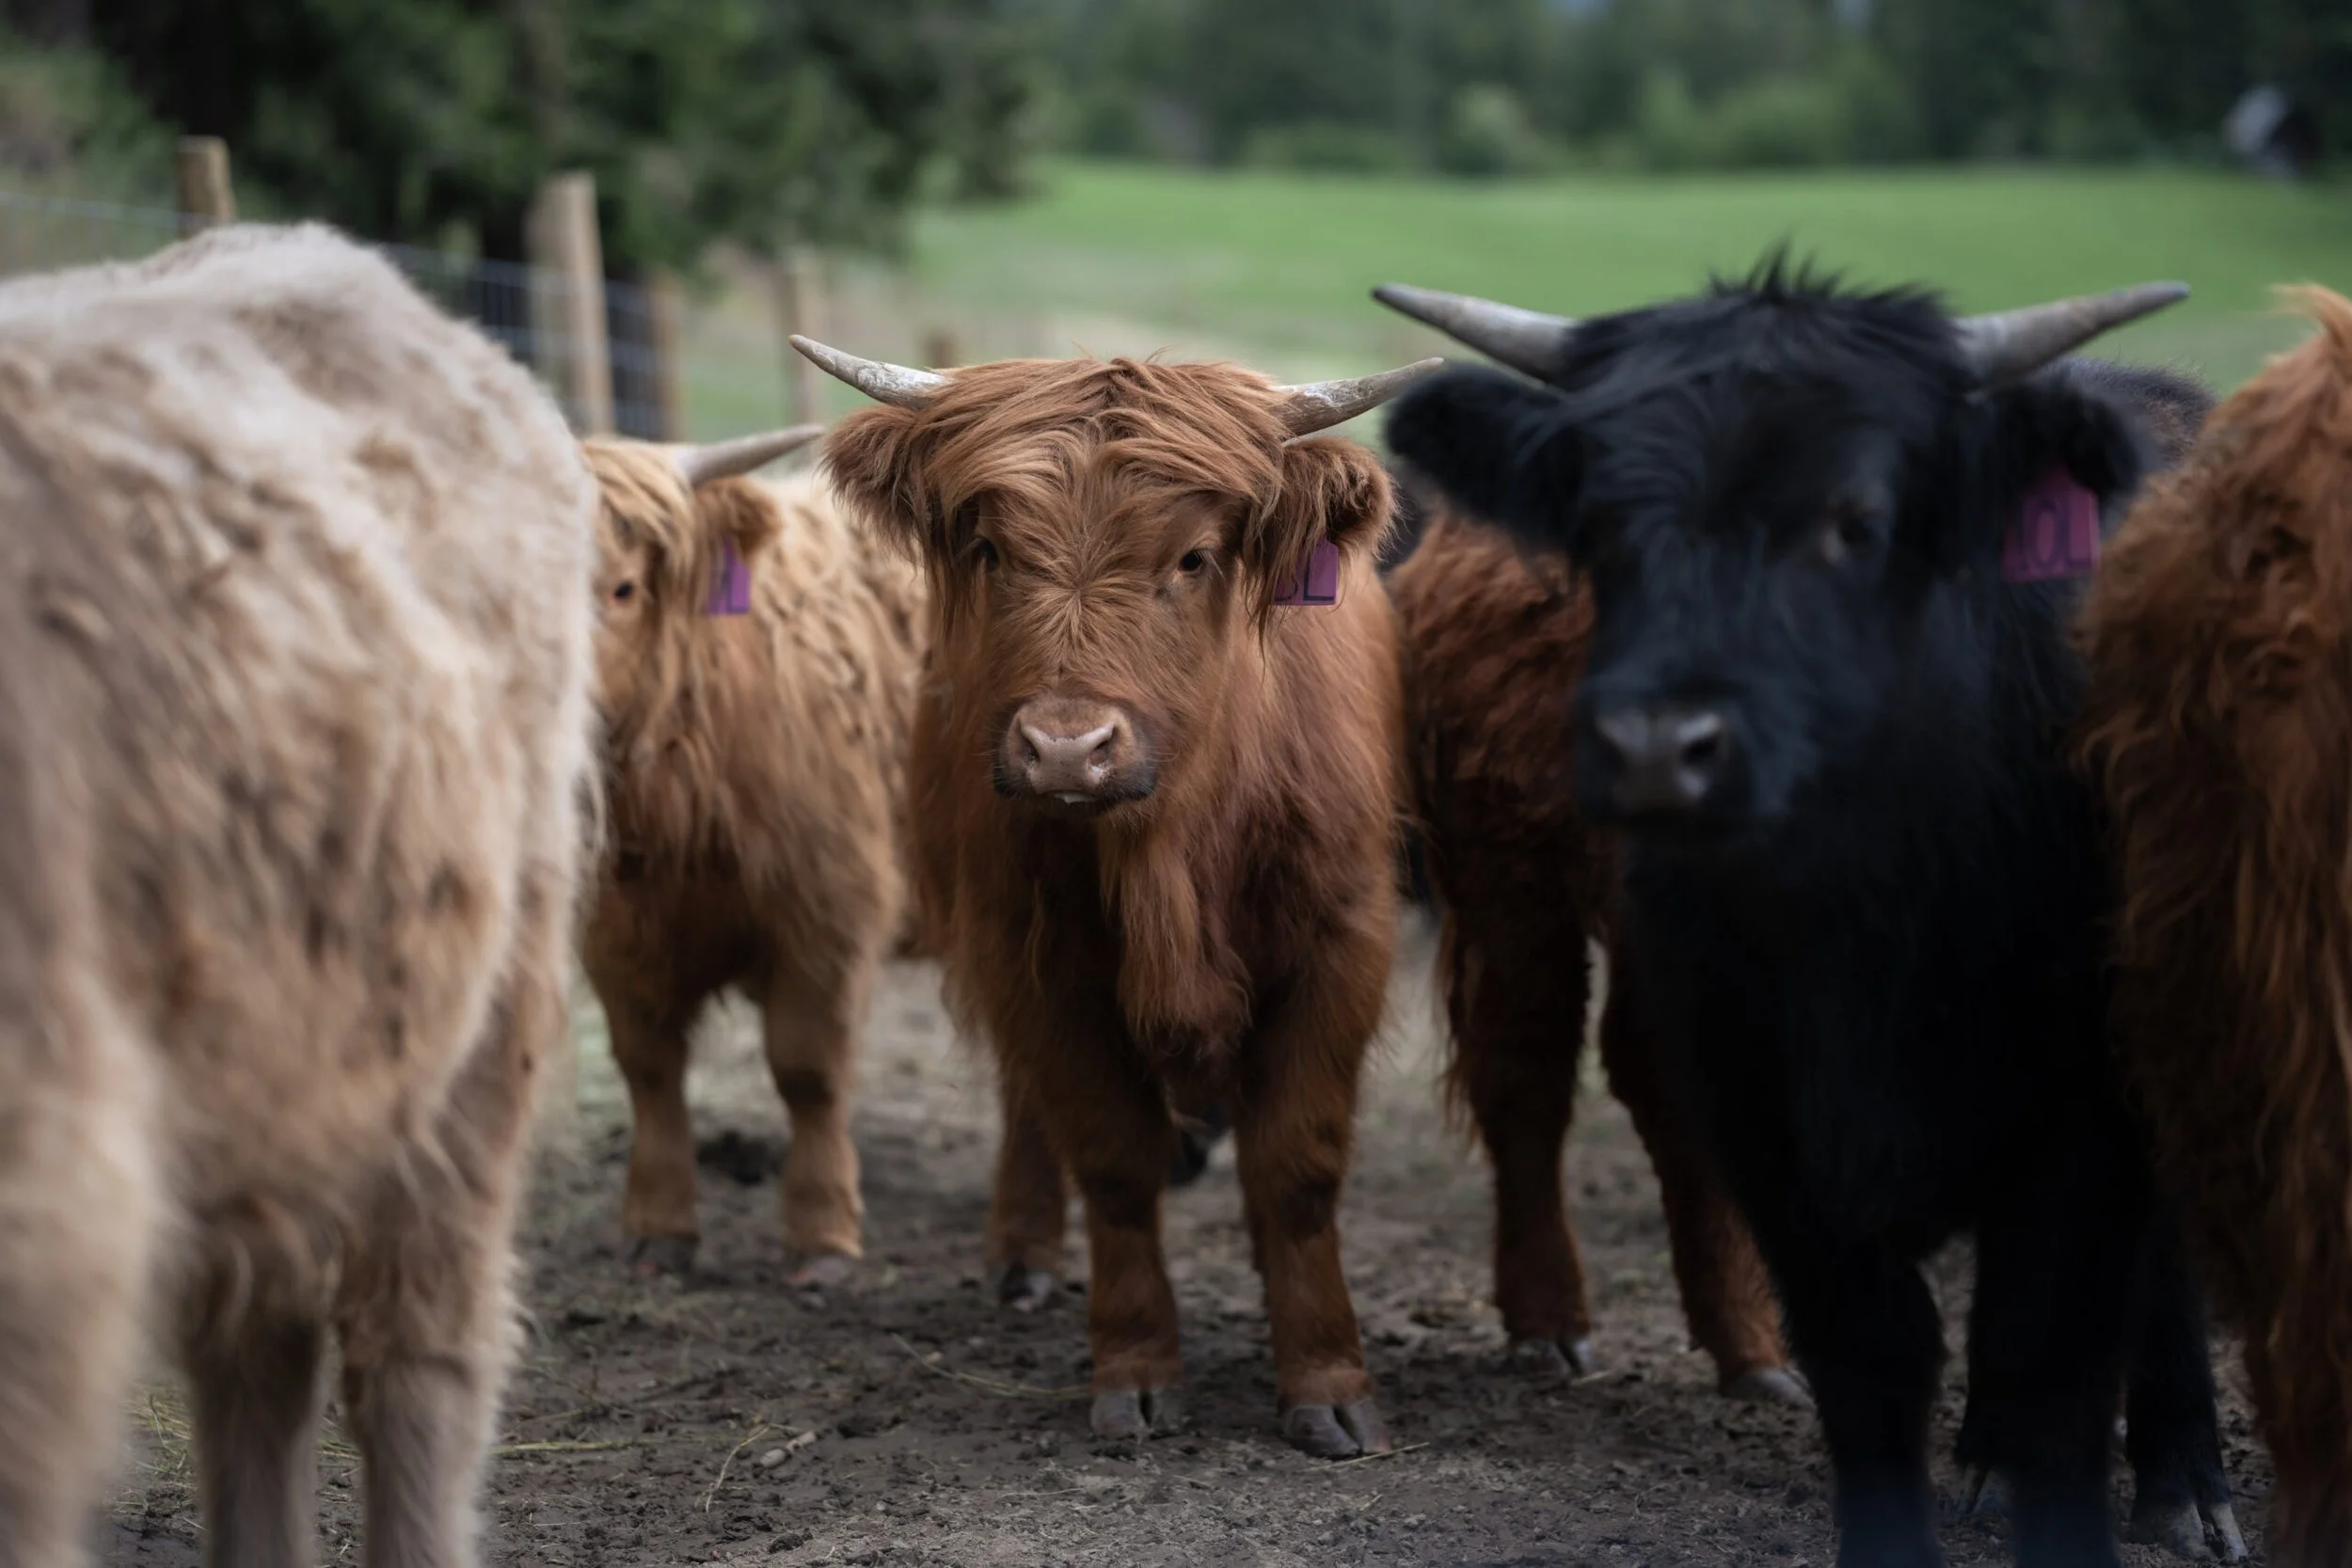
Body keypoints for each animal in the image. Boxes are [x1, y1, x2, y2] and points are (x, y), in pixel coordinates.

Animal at [579, 428, 926, 1286]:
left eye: (623, 588)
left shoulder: (829, 907)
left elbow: (807, 1070)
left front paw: (822, 1235)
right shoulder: (615, 932)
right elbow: (649, 1068)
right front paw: (657, 1225)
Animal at [797, 334, 1435, 1457]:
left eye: (1192, 557)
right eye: (991, 550)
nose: (1065, 747)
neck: (1168, 845)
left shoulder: (1341, 943)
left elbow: (1296, 1166)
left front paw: (1328, 1381)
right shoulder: (1034, 957)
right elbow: (1110, 1155)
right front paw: (1135, 1370)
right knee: (1027, 1102)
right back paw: (1024, 1254)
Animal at [1380, 262, 2239, 1566]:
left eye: (1857, 519)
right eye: (1599, 522)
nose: (1656, 747)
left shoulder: (2083, 1107)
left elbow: (2058, 1343)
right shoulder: (1763, 1109)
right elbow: (1874, 1355)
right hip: (1513, 884)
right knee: (1526, 1063)